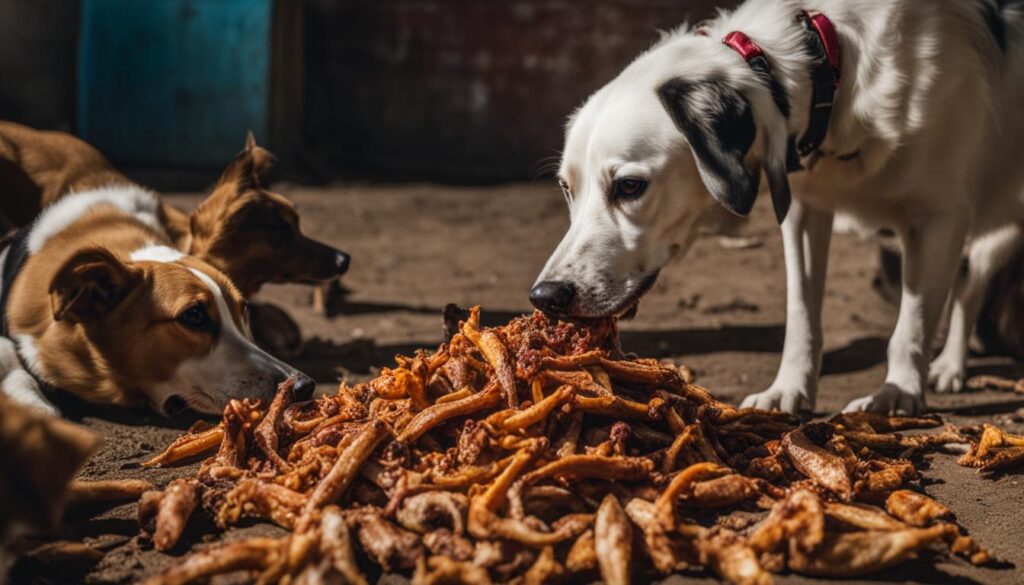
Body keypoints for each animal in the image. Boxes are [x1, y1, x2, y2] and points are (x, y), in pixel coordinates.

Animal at [532, 0, 1019, 415]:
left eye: (630, 186)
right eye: (566, 188)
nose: (545, 297)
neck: (831, 65)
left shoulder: (940, 219)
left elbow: (912, 323)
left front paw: (898, 392)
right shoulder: (803, 211)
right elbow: (802, 315)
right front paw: (789, 389)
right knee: (971, 288)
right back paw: (951, 366)